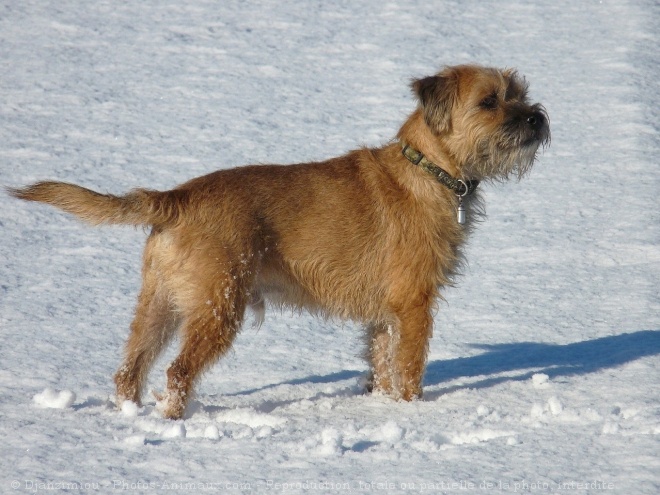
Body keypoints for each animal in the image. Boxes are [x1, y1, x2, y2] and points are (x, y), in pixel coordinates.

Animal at [10, 64, 548, 420]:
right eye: (489, 101)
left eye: (520, 92)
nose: (536, 118)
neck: (428, 169)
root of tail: (176, 197)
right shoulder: (415, 304)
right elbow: (410, 366)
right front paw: (412, 412)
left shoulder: (385, 315)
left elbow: (381, 362)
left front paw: (381, 405)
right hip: (218, 307)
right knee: (178, 373)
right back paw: (174, 423)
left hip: (160, 304)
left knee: (131, 369)